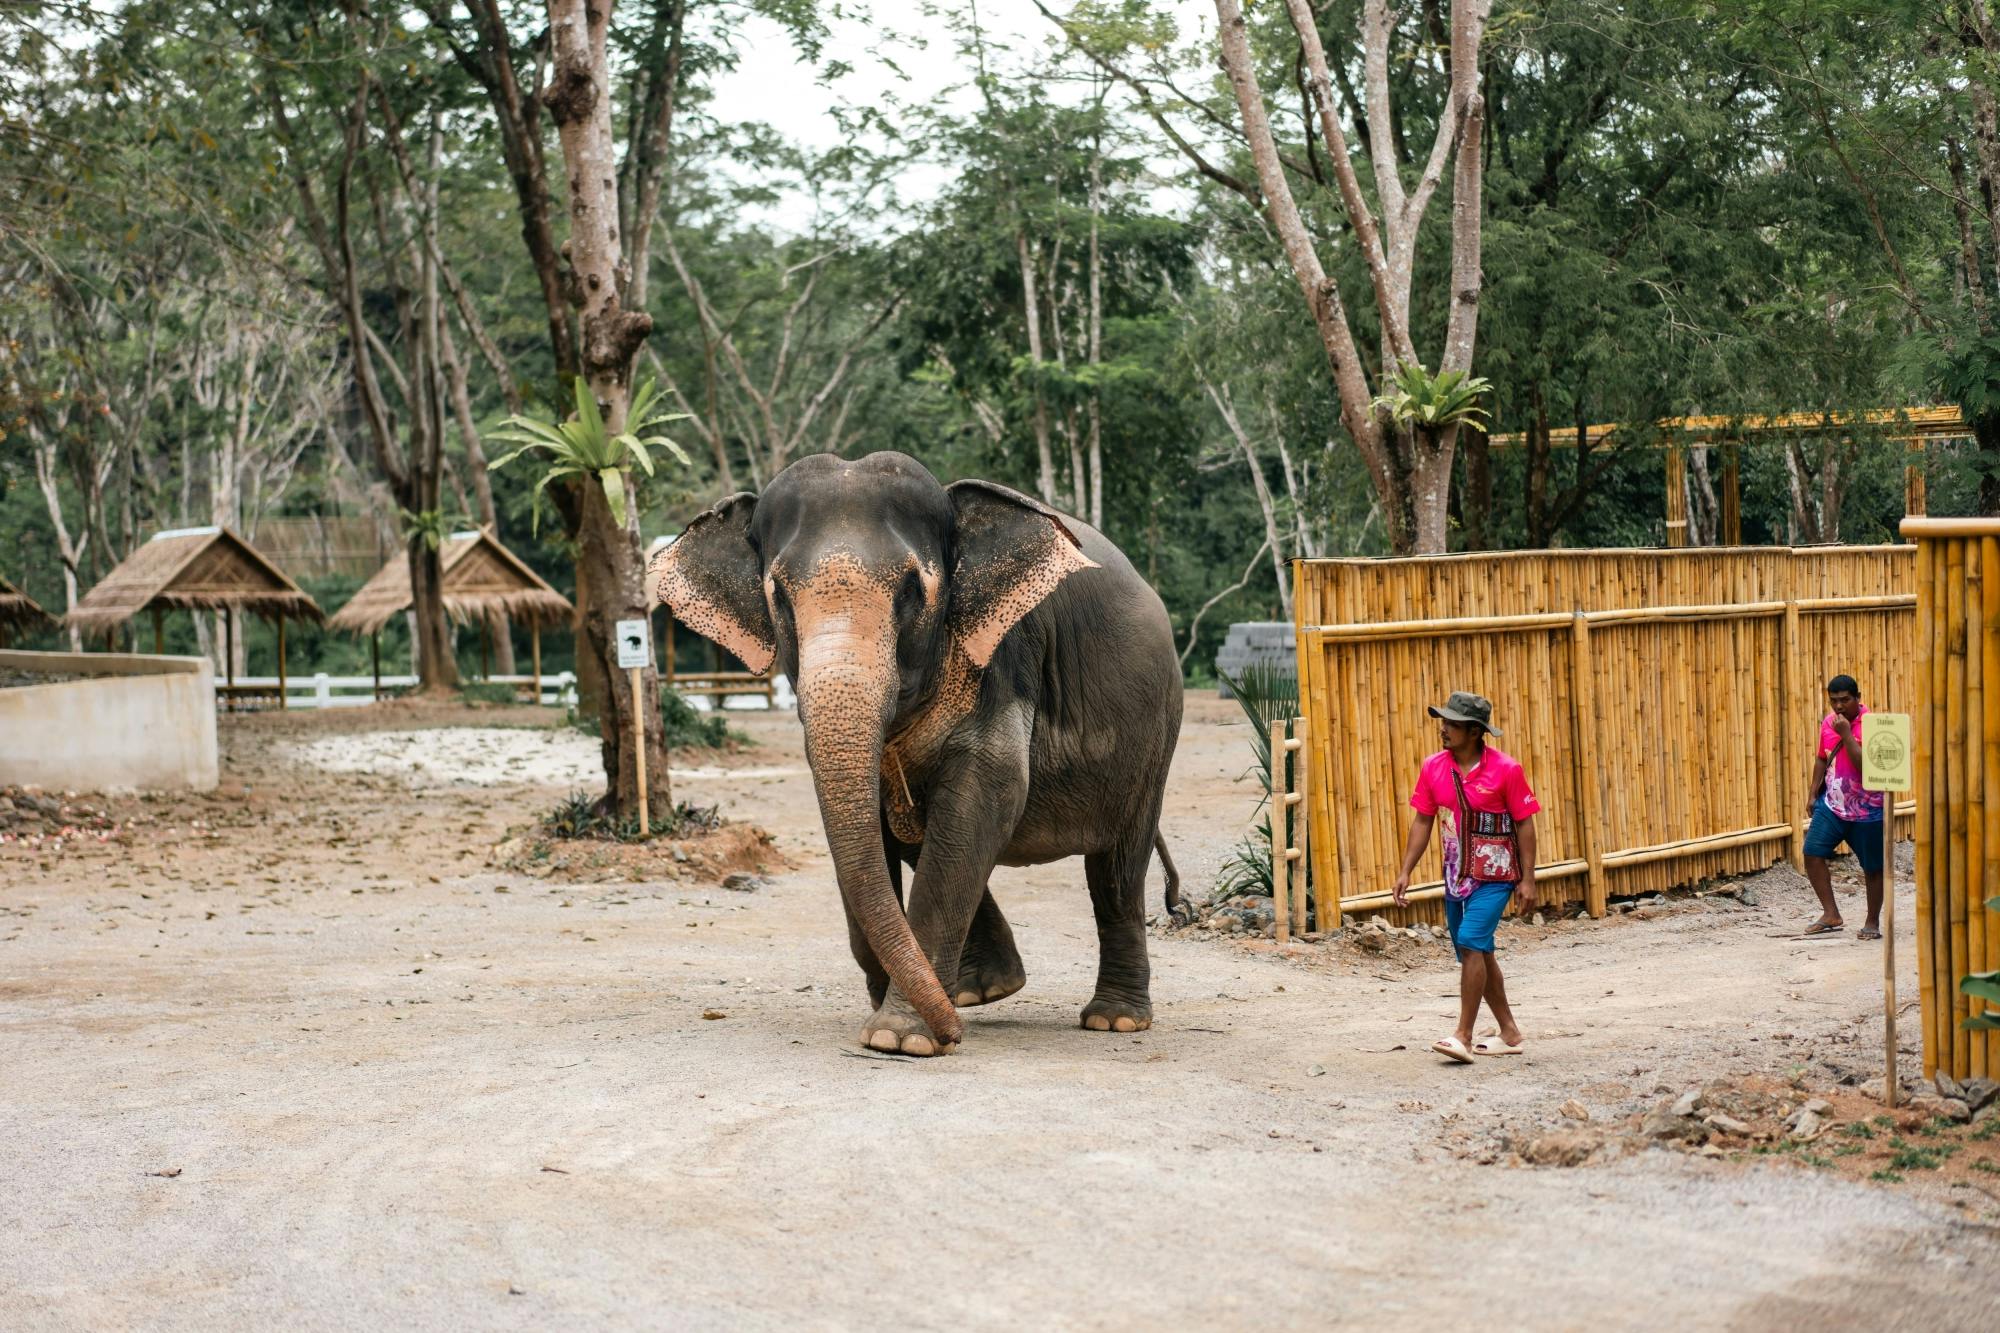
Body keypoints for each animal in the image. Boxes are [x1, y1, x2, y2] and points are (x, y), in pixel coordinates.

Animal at [649, 451, 1184, 1056]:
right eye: (778, 597)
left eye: (911, 591)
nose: (951, 1035)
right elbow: (875, 831)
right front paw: (910, 1013)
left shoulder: (1004, 660)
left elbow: (988, 796)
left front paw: (899, 1037)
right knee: (921, 835)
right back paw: (985, 990)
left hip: (1154, 734)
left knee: (1116, 868)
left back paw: (1113, 1020)